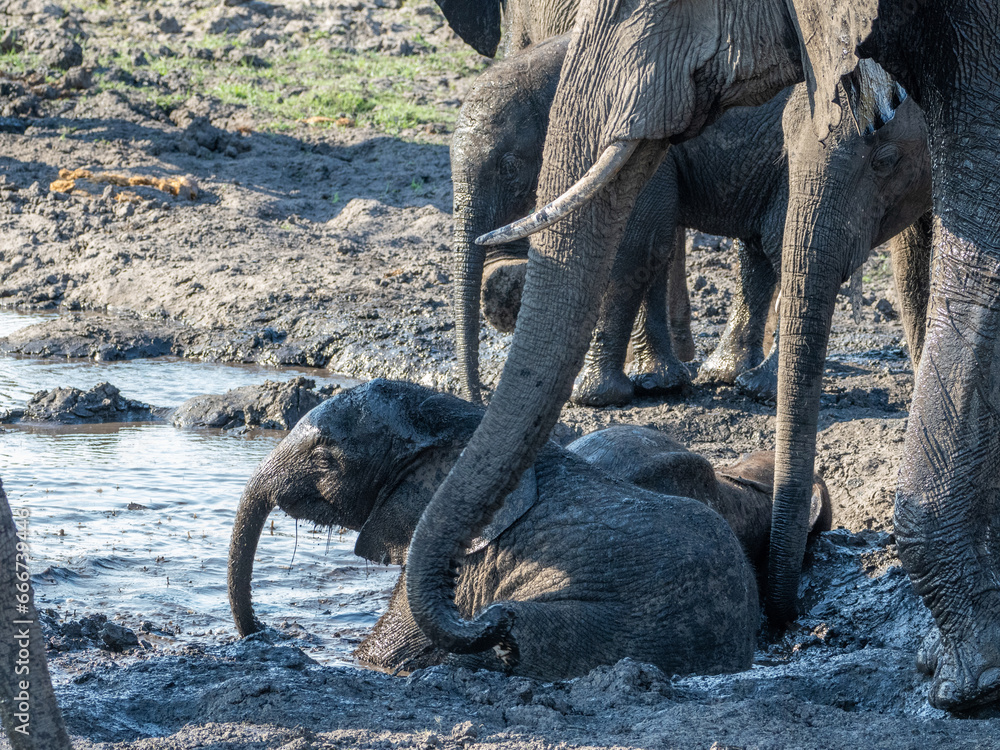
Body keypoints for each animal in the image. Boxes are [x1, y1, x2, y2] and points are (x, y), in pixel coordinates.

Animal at [454, 34, 931, 407]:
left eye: (508, 167)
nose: (475, 398)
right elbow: (654, 248)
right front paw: (657, 384)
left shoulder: (635, 144)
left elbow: (636, 245)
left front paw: (594, 397)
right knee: (759, 253)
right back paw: (725, 374)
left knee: (781, 250)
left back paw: (758, 388)